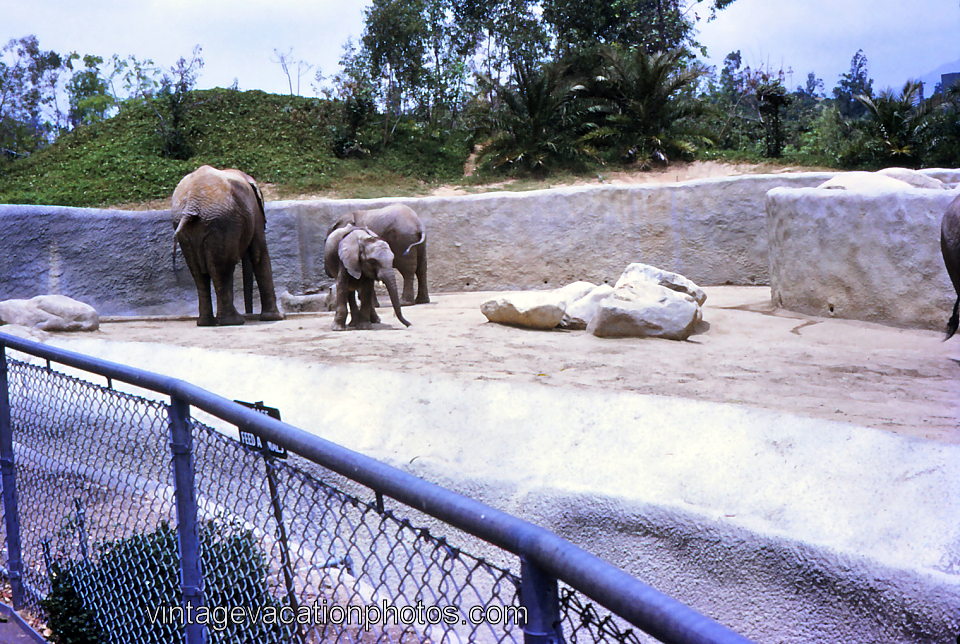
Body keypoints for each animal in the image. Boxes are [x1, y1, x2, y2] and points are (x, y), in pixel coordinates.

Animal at [172, 166, 284, 328]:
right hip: (221, 222)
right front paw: (276, 318)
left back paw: (207, 323)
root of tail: (192, 204)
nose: (250, 313)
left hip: (190, 226)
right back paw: (233, 321)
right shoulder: (255, 211)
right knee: (222, 268)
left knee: (199, 273)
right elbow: (258, 253)